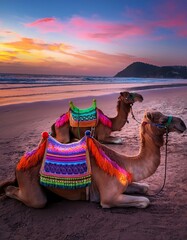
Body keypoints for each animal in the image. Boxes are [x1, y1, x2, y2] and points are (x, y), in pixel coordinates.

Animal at [1, 110, 186, 208]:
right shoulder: (109, 197)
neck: (125, 163)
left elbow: (145, 188)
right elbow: (145, 201)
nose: (182, 123)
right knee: (26, 196)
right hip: (30, 186)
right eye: (163, 119)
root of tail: (19, 164)